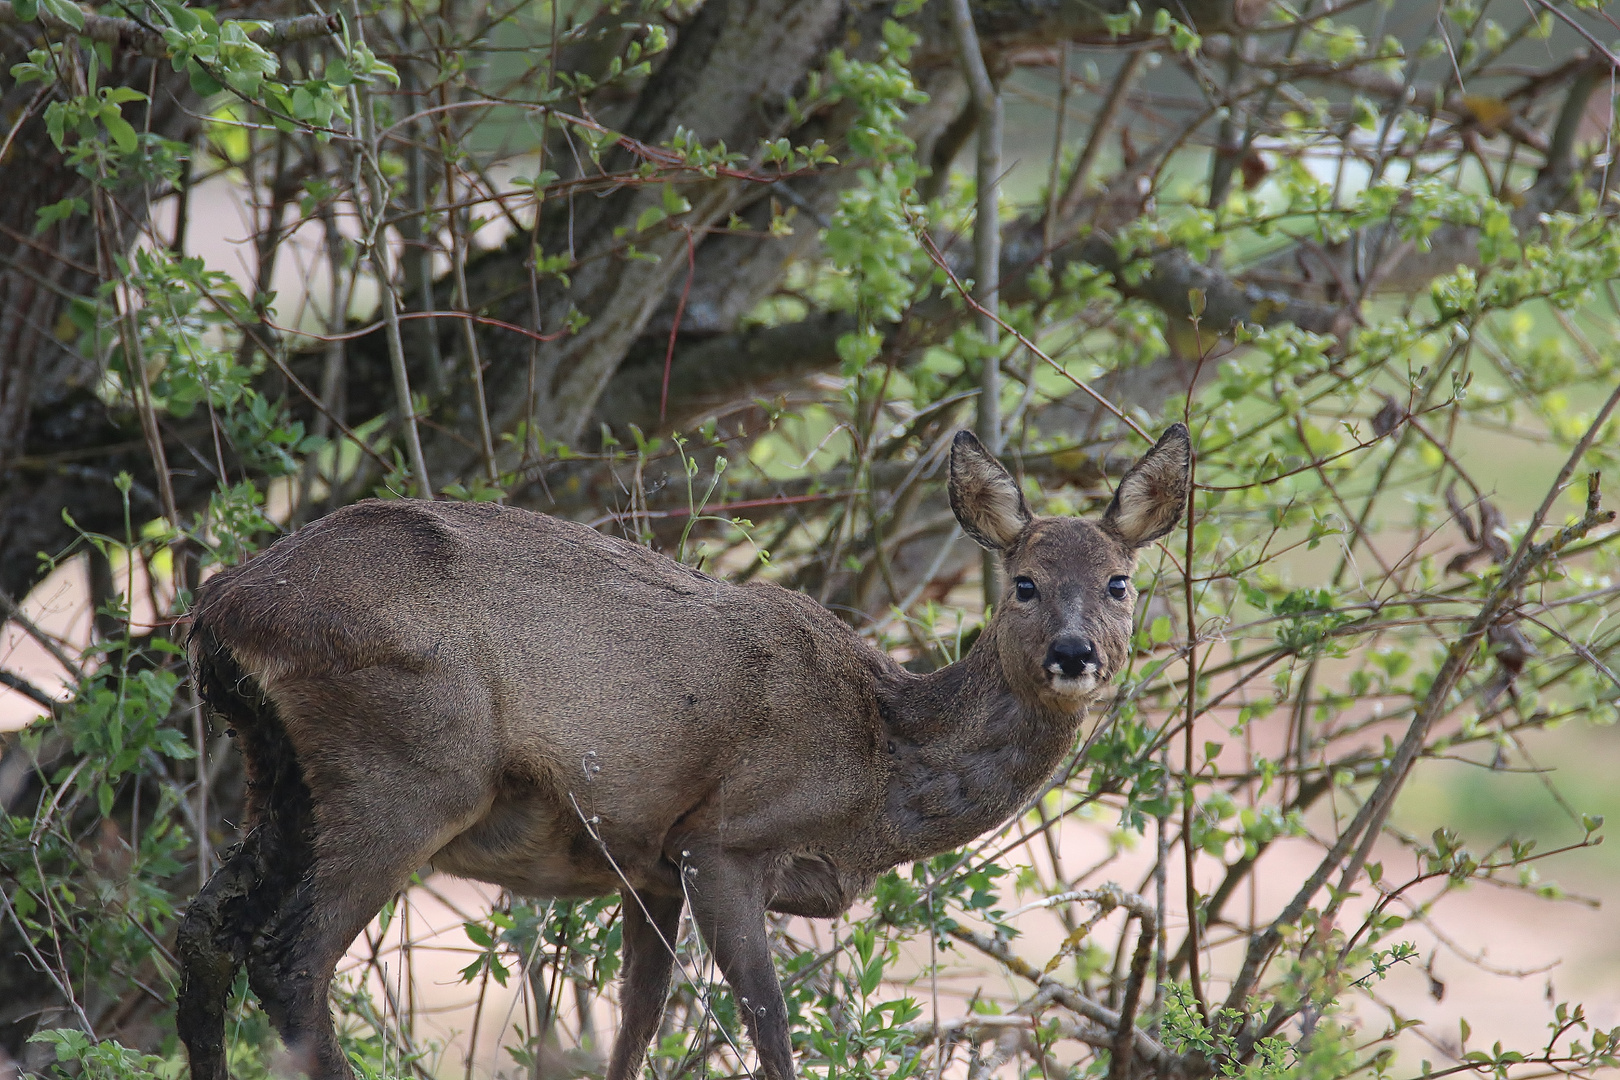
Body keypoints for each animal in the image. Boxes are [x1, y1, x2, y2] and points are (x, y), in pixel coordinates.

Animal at [177, 420, 1192, 1080]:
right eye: (1024, 583)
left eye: (1120, 582)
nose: (1075, 654)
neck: (875, 770)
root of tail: (225, 600)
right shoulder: (721, 840)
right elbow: (771, 1031)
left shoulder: (646, 866)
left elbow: (636, 1027)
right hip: (408, 764)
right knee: (291, 958)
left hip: (283, 774)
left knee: (205, 931)